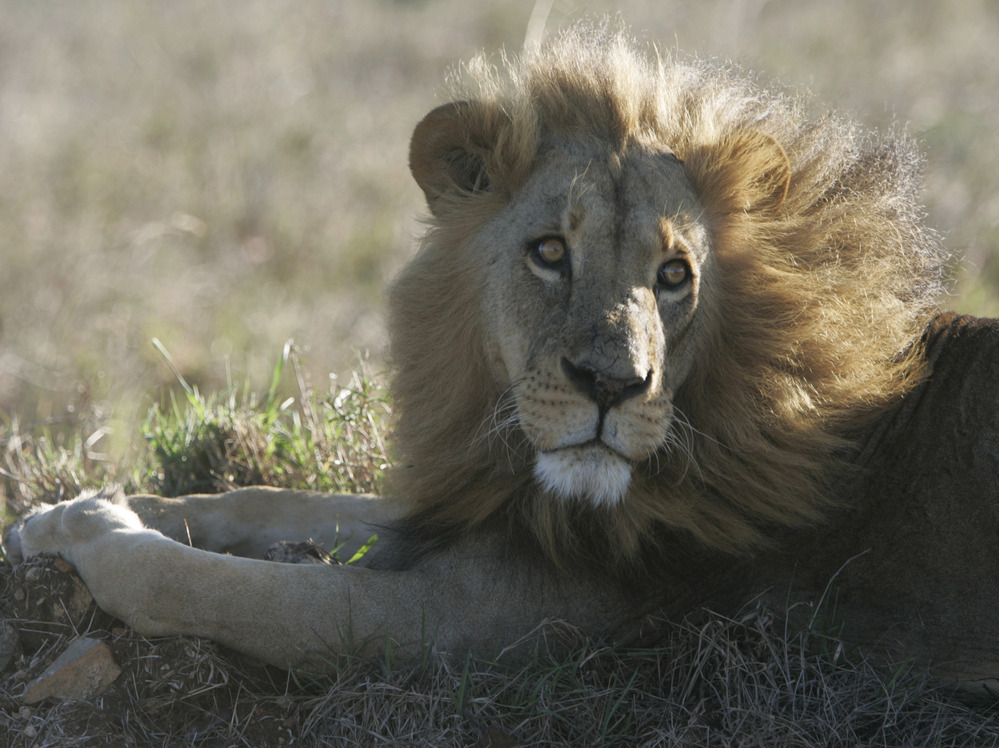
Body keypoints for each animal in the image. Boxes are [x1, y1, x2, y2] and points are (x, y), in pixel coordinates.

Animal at [6, 27, 999, 688]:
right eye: (549, 252)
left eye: (674, 275)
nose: (612, 386)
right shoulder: (474, 504)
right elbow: (271, 499)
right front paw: (85, 508)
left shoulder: (472, 621)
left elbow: (224, 590)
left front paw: (97, 533)